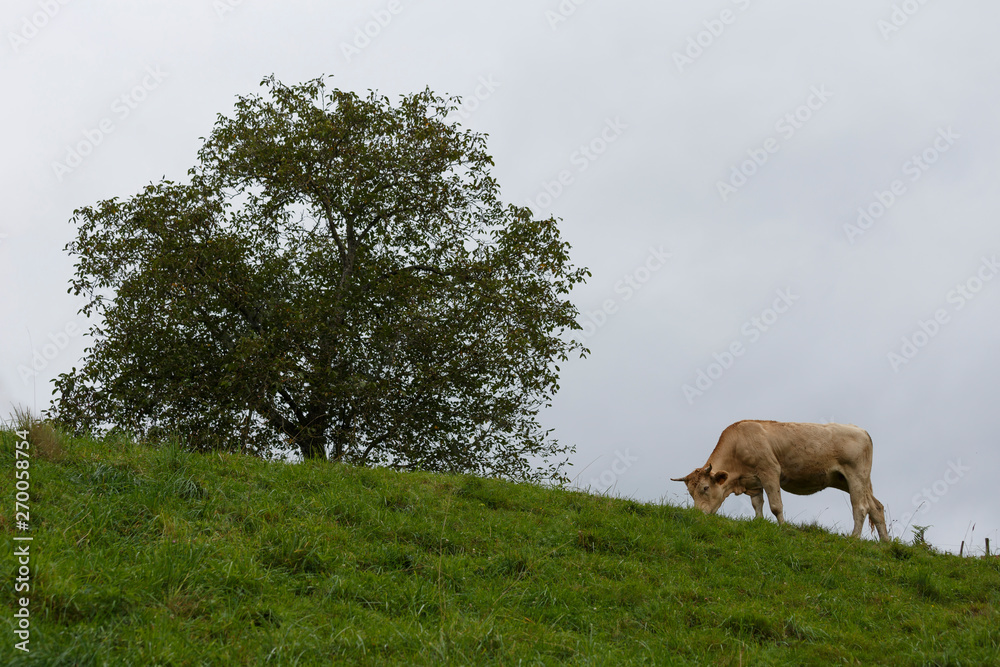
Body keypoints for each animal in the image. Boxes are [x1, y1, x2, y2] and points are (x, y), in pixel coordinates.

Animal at [671, 420, 889, 542]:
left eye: (705, 488)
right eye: (691, 492)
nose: (698, 514)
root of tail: (860, 430)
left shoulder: (770, 470)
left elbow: (776, 505)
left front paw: (783, 527)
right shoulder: (753, 482)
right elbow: (757, 504)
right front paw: (758, 522)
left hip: (855, 475)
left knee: (860, 506)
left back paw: (854, 538)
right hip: (849, 480)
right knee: (876, 506)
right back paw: (885, 543)